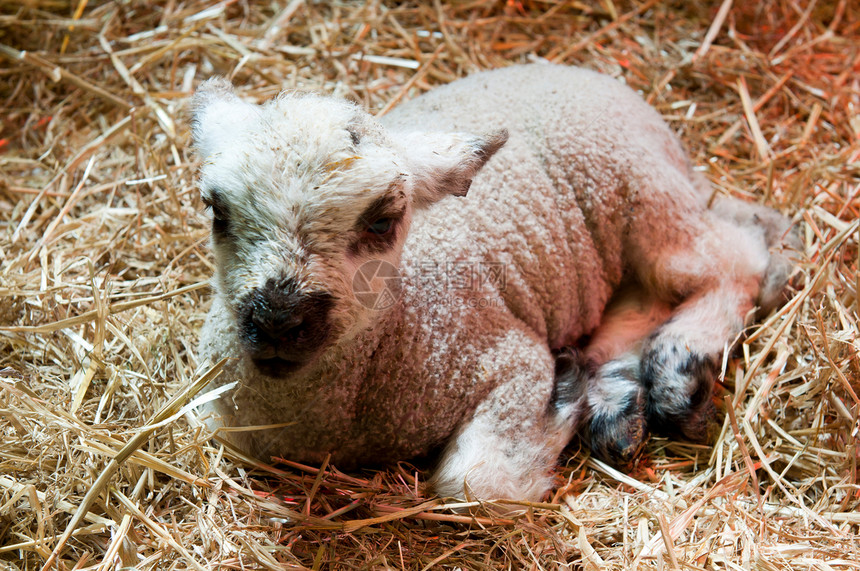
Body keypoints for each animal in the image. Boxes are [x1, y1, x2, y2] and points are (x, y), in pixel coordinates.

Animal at [191, 65, 796, 504]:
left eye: (383, 221)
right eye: (217, 210)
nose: (277, 321)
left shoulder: (510, 360)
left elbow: (475, 483)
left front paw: (564, 393)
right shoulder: (215, 412)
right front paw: (585, 388)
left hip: (645, 194)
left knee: (735, 258)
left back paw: (677, 369)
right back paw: (615, 400)